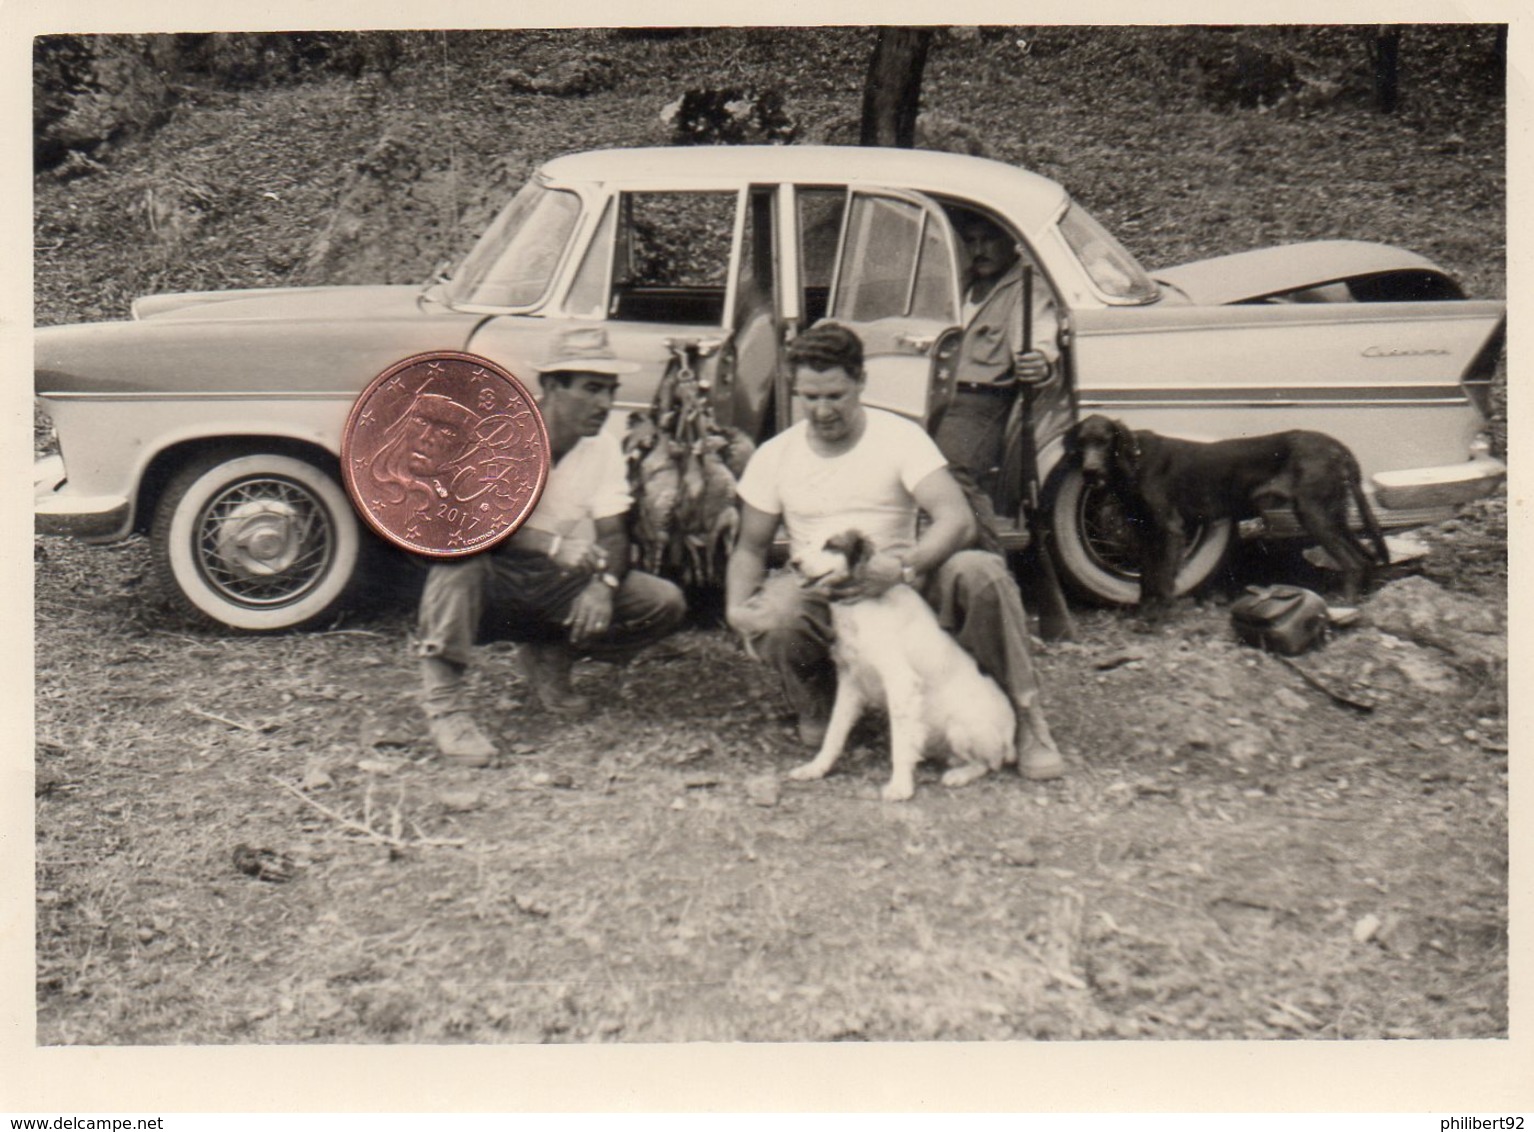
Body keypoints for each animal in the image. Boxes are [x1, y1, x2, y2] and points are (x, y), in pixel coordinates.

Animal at [791, 530, 1018, 803]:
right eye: (807, 541)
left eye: (831, 545)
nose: (793, 563)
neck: (861, 607)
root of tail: (1011, 736)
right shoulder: (850, 680)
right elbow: (834, 731)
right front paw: (816, 768)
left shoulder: (901, 682)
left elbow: (899, 744)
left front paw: (900, 786)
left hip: (961, 728)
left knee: (987, 763)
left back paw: (959, 774)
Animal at [1067, 411, 1392, 613]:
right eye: (1082, 442)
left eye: (1104, 441)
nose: (1090, 470)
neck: (1134, 460)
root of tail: (1337, 447)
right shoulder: (1146, 531)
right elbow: (1148, 578)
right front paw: (1145, 612)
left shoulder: (1170, 528)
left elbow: (1164, 580)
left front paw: (1160, 617)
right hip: (1332, 515)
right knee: (1366, 557)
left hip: (1315, 514)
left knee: (1353, 562)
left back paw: (1346, 603)